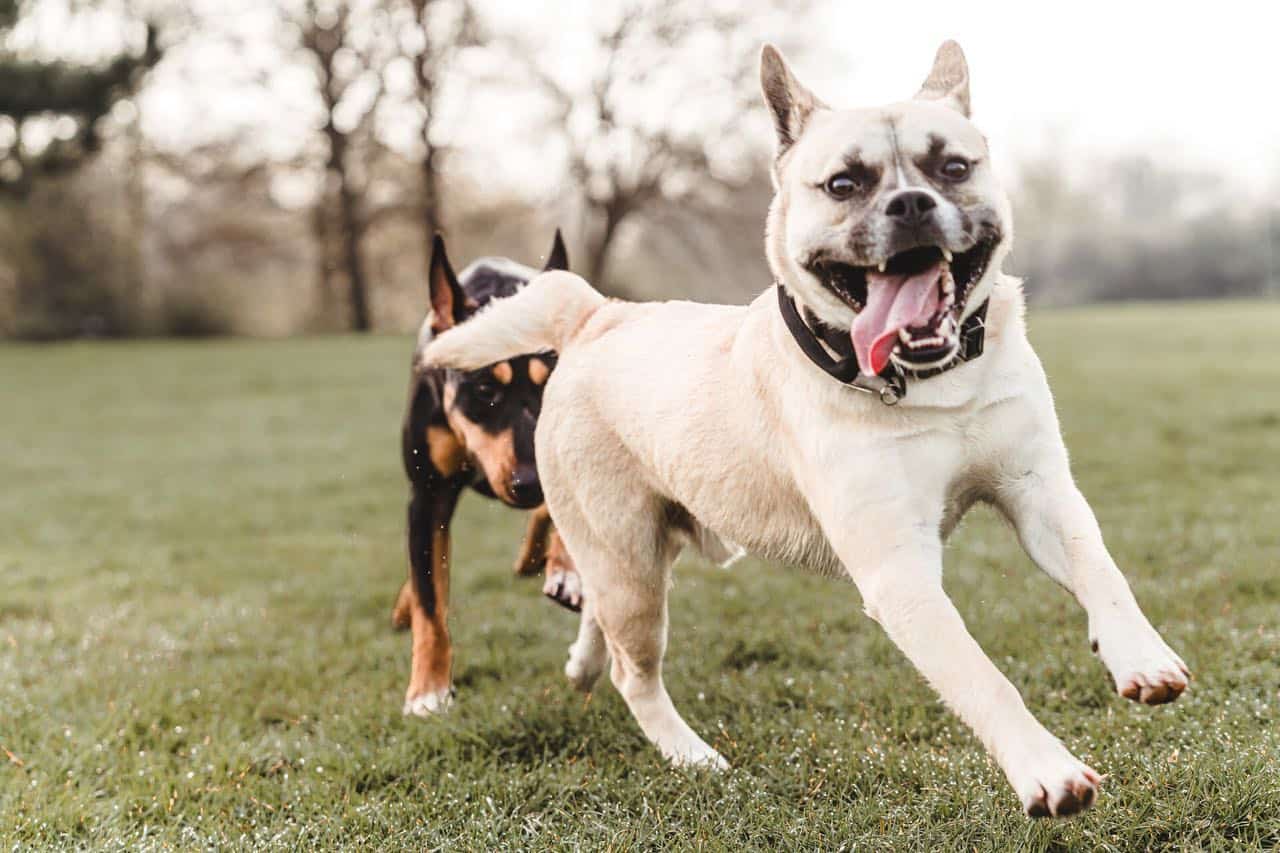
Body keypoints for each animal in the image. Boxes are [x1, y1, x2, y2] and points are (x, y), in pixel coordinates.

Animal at [391, 229, 578, 712]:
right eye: (484, 388)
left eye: (548, 382)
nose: (528, 483)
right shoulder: (427, 493)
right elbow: (429, 601)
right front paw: (428, 691)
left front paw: (565, 570)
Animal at [419, 43, 1187, 814]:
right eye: (844, 183)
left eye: (952, 167)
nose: (911, 204)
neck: (928, 385)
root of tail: (598, 313)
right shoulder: (899, 570)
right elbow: (980, 675)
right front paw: (1046, 768)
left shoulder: (1039, 491)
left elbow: (1101, 570)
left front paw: (1142, 655)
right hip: (631, 561)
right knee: (634, 673)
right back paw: (690, 754)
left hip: (639, 551)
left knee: (599, 614)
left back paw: (584, 657)